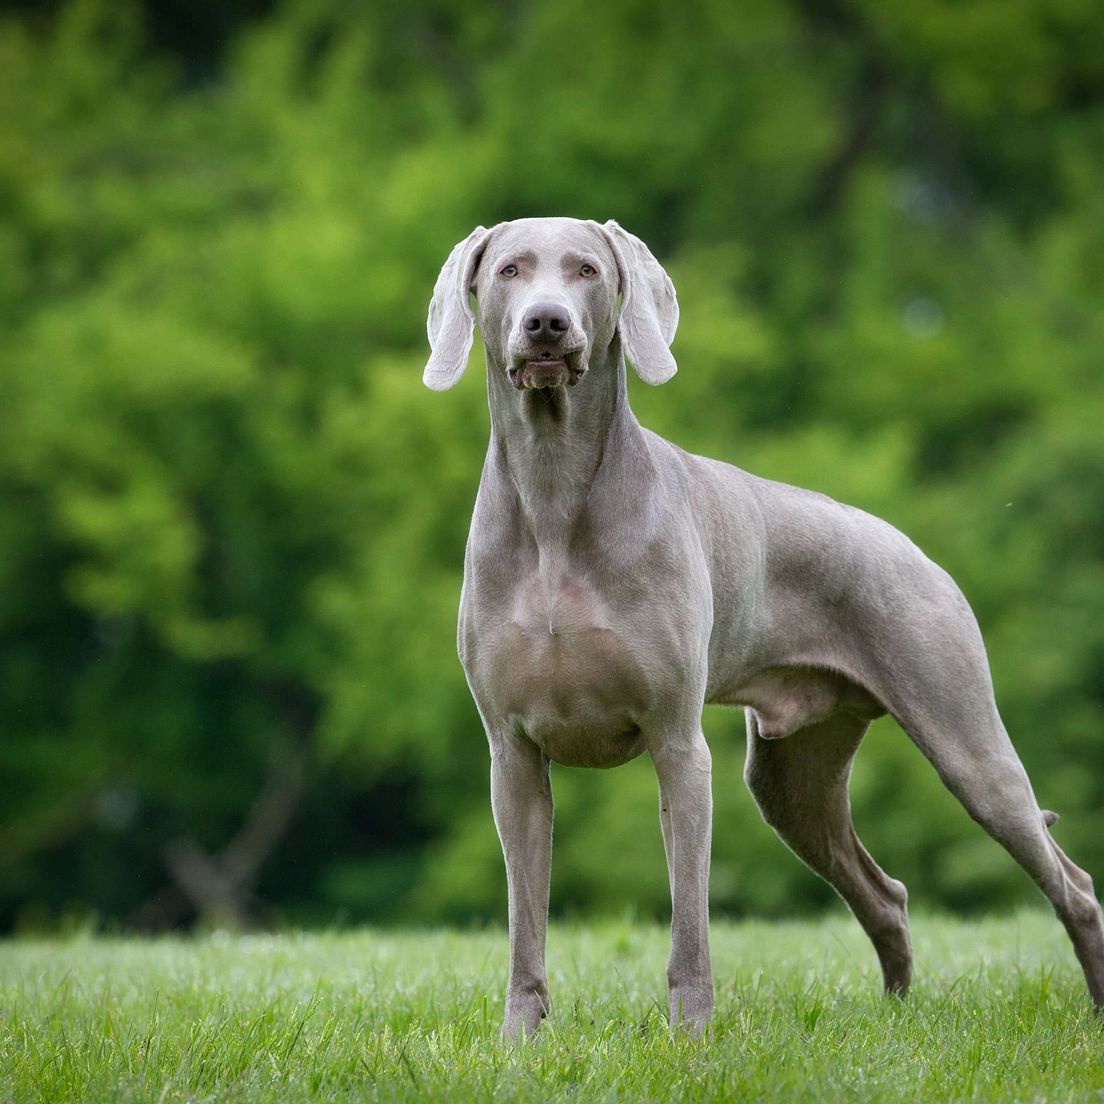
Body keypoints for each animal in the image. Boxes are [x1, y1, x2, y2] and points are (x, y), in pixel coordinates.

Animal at [419, 213, 1104, 1033]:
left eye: (587, 269)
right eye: (509, 270)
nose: (546, 323)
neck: (554, 498)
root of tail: (913, 548)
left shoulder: (677, 744)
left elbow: (689, 921)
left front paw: (690, 1037)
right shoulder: (512, 755)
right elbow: (527, 922)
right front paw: (519, 1043)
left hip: (965, 740)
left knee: (1071, 883)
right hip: (791, 777)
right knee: (886, 895)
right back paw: (896, 1017)